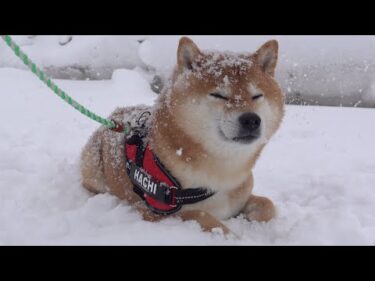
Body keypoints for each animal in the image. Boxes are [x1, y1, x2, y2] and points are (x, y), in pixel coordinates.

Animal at [81, 37, 284, 234]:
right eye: (219, 95)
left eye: (257, 96)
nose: (251, 120)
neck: (221, 172)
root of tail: (116, 113)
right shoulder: (154, 211)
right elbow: (202, 216)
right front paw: (231, 235)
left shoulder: (241, 194)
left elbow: (268, 205)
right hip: (94, 165)